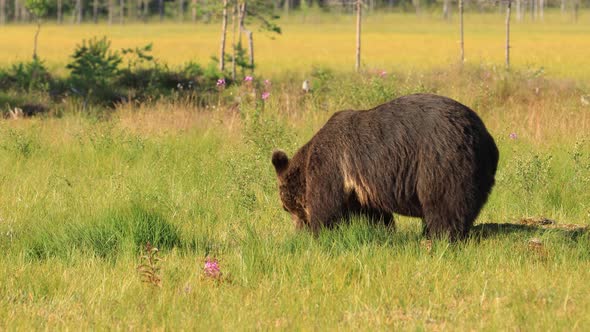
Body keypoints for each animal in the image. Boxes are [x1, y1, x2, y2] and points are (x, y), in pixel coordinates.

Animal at [272, 92, 500, 240]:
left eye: (286, 207)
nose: (298, 232)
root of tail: (485, 137)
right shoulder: (362, 187)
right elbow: (375, 214)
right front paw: (383, 230)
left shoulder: (331, 166)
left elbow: (326, 206)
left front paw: (320, 233)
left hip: (441, 159)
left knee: (443, 204)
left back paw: (439, 236)